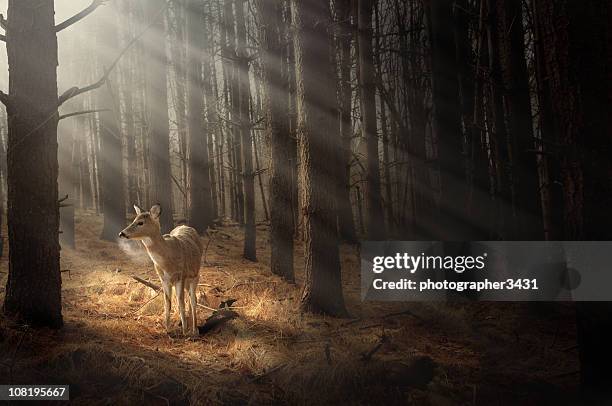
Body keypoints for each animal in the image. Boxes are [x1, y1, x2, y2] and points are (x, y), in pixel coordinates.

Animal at [118, 205, 204, 334]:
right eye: (134, 220)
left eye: (140, 222)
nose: (122, 233)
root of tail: (185, 226)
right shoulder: (163, 279)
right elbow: (167, 302)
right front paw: (167, 329)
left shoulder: (180, 276)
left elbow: (181, 302)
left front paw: (184, 331)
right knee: (189, 298)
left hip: (195, 275)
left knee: (193, 300)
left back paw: (194, 329)